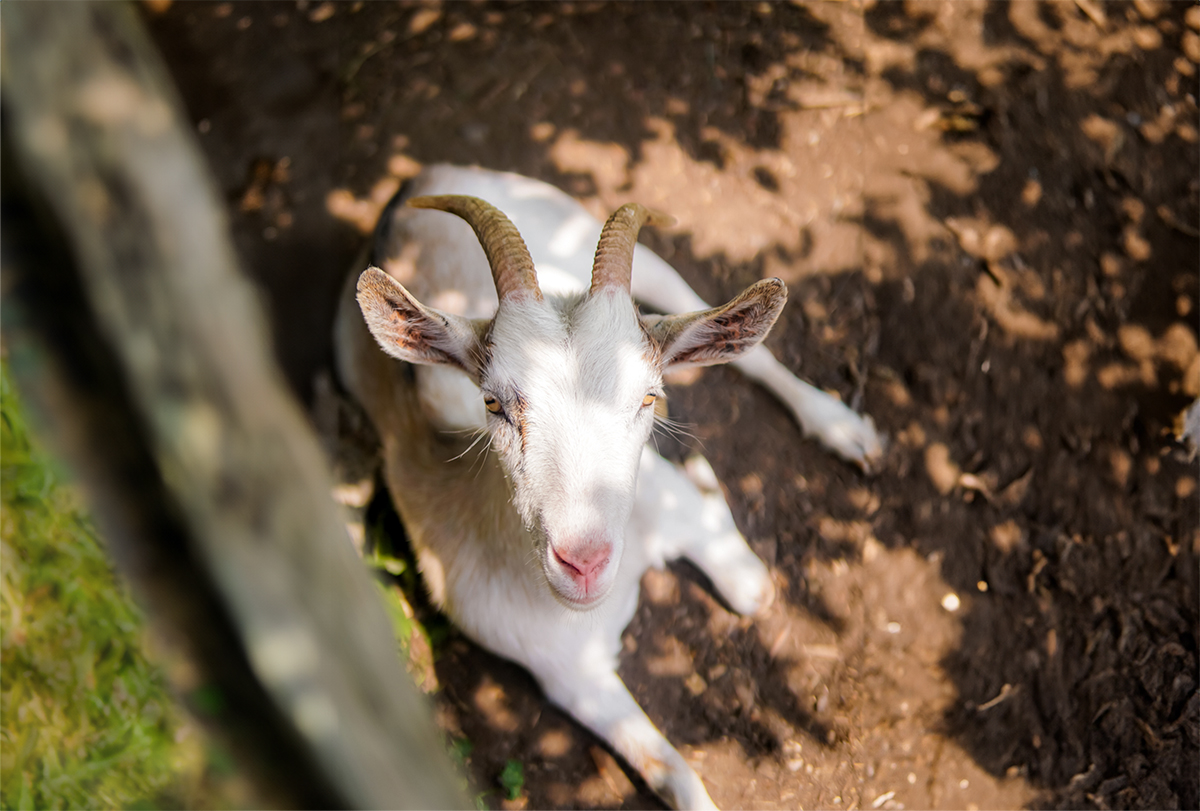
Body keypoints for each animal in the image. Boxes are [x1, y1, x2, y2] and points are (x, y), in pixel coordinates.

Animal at [336, 161, 883, 806]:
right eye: (493, 403)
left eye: (647, 397)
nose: (585, 563)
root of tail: (415, 182)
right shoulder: (574, 679)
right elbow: (672, 771)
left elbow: (753, 588)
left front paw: (704, 478)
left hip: (597, 234)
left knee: (722, 329)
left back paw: (845, 429)